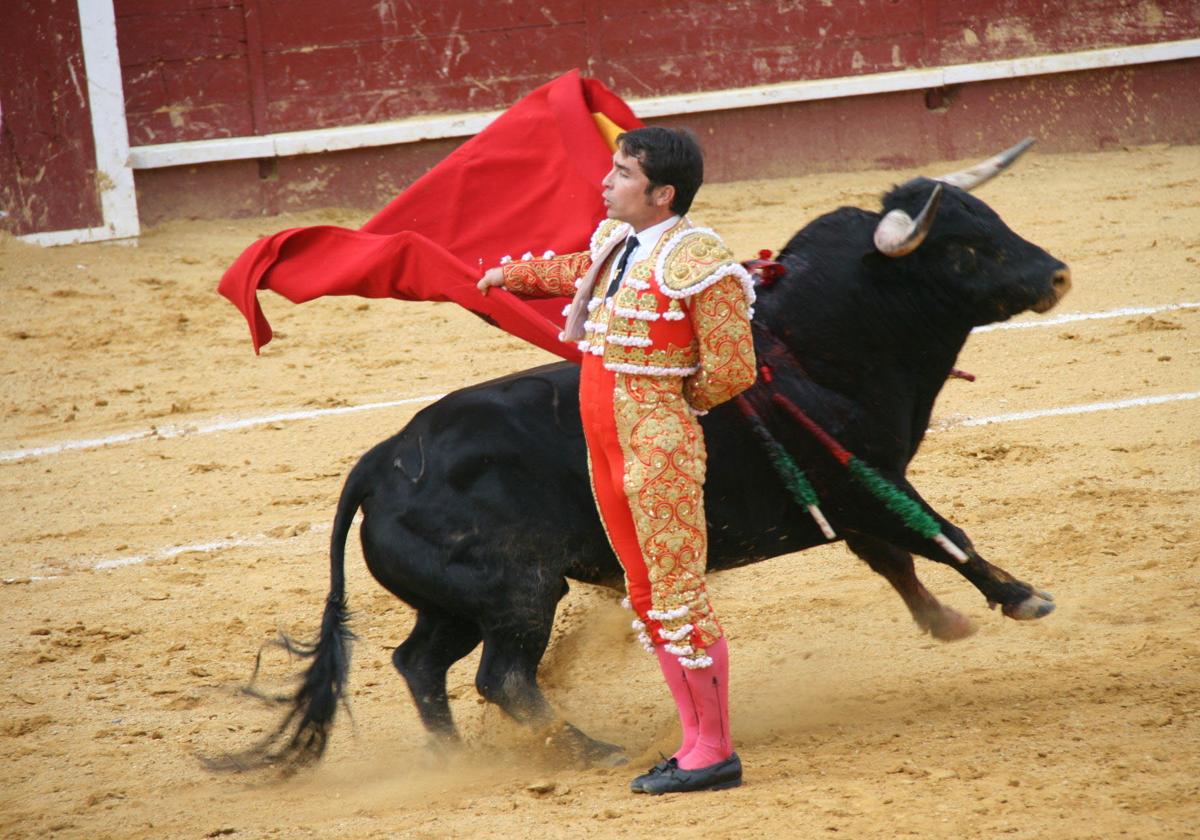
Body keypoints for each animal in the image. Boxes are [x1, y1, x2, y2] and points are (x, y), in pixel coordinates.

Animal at [225, 141, 1070, 772]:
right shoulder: (864, 478)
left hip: (456, 603)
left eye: (991, 218)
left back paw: (460, 758)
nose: (1057, 274)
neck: (810, 343)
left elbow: (897, 558)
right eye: (965, 249)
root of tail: (380, 461)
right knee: (501, 676)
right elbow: (944, 534)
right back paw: (588, 749)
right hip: (519, 591)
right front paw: (1022, 597)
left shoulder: (851, 493)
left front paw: (947, 622)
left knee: (421, 665)